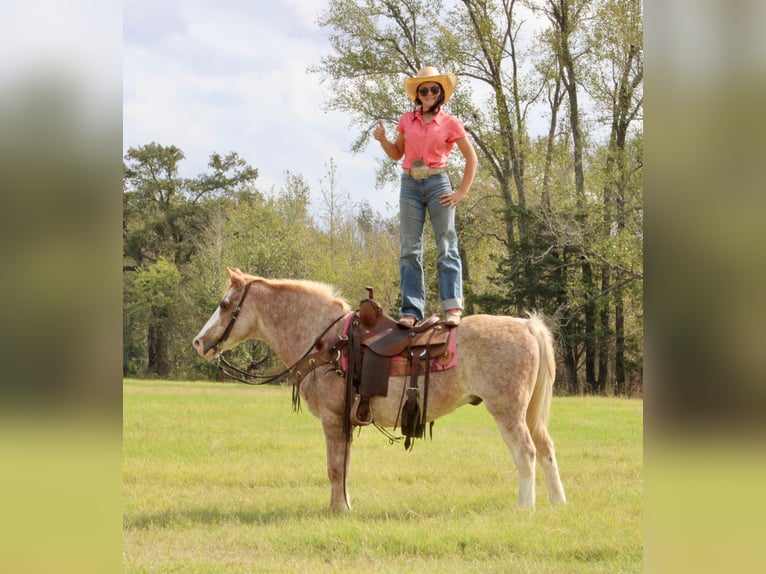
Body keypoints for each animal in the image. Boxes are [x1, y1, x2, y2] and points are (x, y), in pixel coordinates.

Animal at [195, 268, 568, 512]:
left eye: (225, 304)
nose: (199, 342)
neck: (326, 341)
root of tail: (527, 326)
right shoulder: (346, 421)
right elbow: (344, 467)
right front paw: (344, 506)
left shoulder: (332, 418)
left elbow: (334, 468)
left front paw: (338, 510)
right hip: (529, 413)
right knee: (546, 449)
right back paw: (557, 503)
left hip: (508, 411)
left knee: (526, 453)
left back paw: (526, 507)